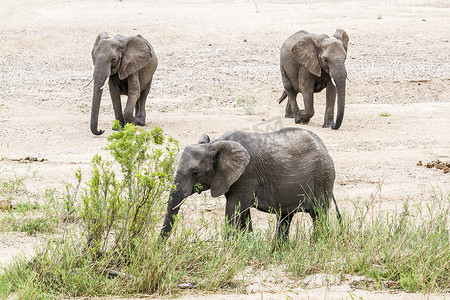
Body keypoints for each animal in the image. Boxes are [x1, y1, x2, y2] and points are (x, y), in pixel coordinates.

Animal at [160, 127, 340, 240]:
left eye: (195, 172)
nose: (160, 248)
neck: (214, 144)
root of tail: (324, 147)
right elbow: (243, 212)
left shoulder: (246, 176)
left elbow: (234, 210)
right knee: (285, 218)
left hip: (323, 178)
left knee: (318, 215)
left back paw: (316, 243)